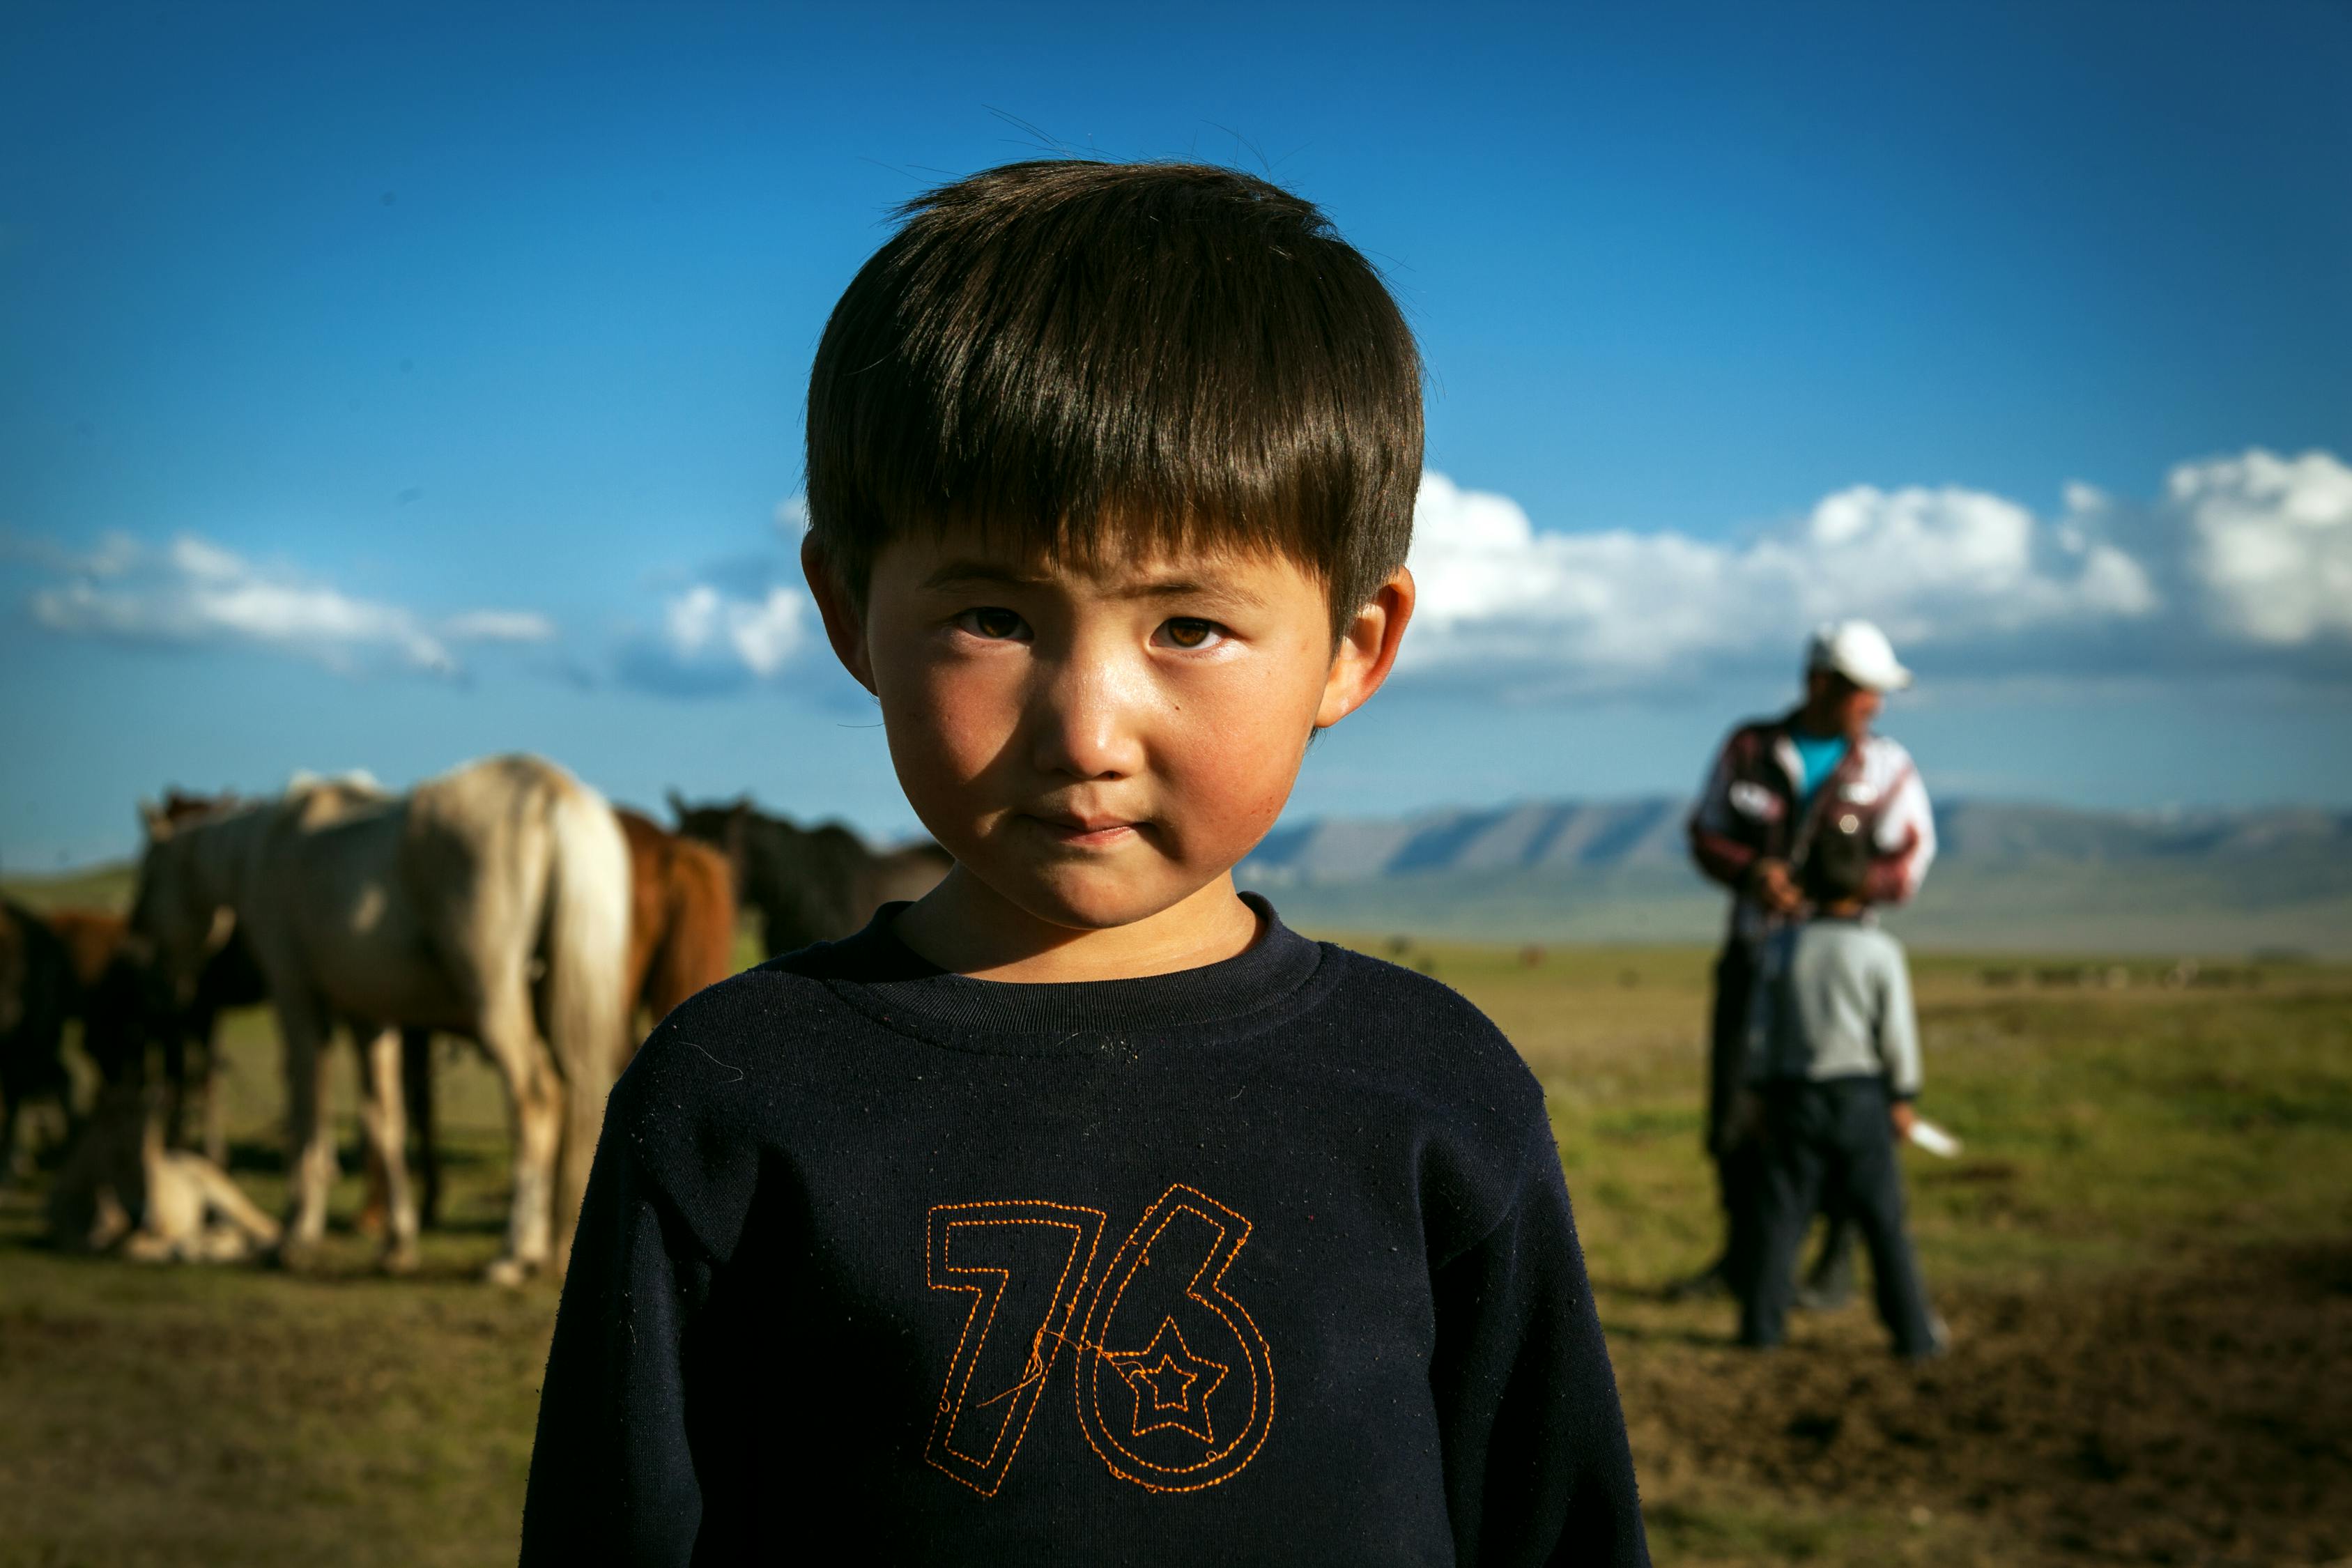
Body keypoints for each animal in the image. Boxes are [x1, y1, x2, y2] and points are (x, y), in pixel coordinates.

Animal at [132, 761, 630, 1288]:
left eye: (149, 874)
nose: (155, 985)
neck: (265, 846)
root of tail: (551, 791)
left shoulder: (296, 1000)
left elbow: (308, 1112)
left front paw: (296, 1235)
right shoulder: (367, 1018)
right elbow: (383, 1119)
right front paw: (396, 1243)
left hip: (493, 1001)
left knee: (535, 1101)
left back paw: (514, 1254)